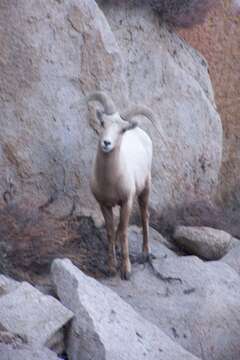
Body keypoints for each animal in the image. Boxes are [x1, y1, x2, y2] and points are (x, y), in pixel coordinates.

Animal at [87, 91, 153, 280]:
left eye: (122, 130)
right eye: (103, 123)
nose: (106, 143)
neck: (110, 180)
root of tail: (139, 131)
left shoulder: (126, 201)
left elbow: (124, 232)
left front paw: (126, 271)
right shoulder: (104, 204)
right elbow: (110, 231)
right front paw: (111, 267)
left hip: (145, 190)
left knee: (145, 217)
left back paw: (146, 252)